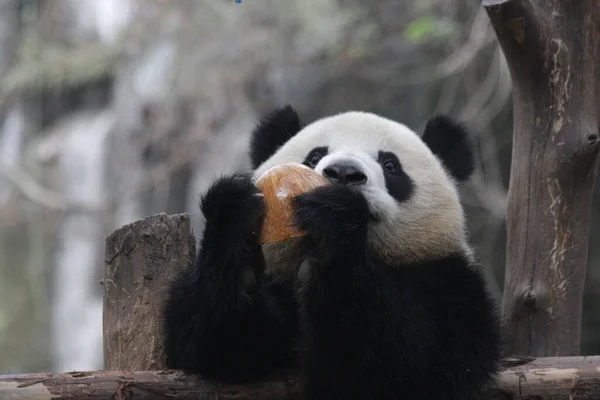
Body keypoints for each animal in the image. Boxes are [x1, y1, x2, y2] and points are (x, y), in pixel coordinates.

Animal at [163, 105, 502, 400]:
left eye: (391, 165)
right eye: (315, 156)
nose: (343, 173)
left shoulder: (448, 279)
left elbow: (414, 364)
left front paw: (334, 212)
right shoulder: (275, 285)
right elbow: (216, 347)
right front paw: (236, 219)